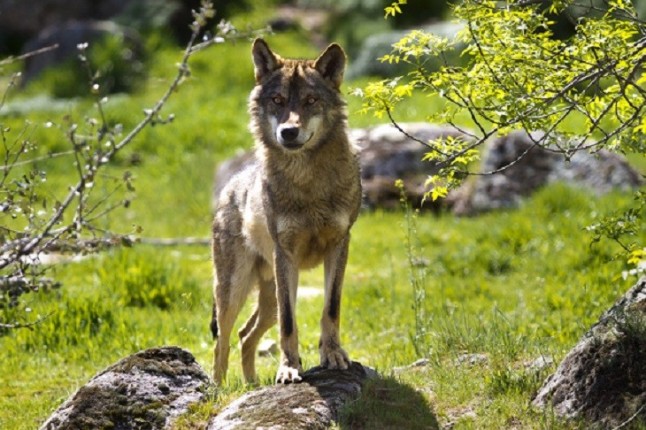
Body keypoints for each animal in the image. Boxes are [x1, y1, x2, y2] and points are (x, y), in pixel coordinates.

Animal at [211, 38, 362, 385]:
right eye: (277, 100)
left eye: (310, 100)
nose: (288, 132)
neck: (307, 183)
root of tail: (230, 185)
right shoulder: (286, 255)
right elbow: (290, 323)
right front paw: (290, 368)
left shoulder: (340, 245)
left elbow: (330, 308)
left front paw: (333, 355)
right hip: (235, 291)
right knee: (223, 341)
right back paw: (217, 389)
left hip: (268, 299)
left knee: (246, 334)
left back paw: (251, 384)